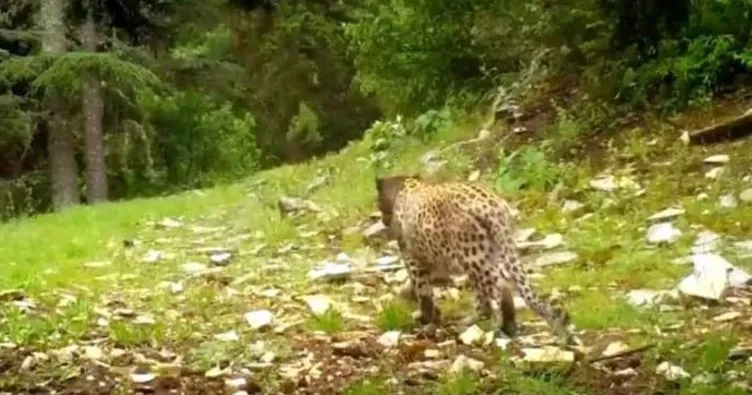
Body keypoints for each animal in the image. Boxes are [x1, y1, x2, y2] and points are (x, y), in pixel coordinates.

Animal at [376, 173, 576, 344]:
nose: (384, 220)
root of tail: (492, 207)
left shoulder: (413, 260)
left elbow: (423, 292)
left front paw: (427, 321)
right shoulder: (432, 263)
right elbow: (419, 288)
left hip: (472, 257)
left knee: (494, 292)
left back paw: (492, 327)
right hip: (494, 253)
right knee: (502, 286)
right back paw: (505, 326)